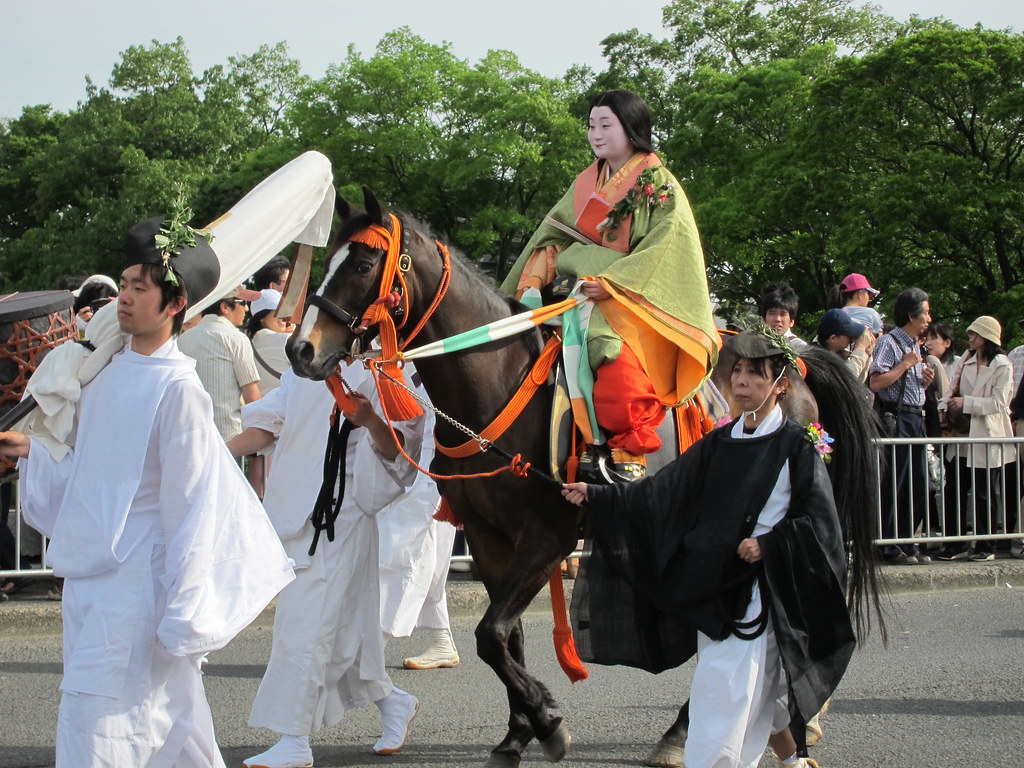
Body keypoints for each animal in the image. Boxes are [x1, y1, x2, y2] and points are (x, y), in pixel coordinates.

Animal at [286, 188, 880, 768]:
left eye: (364, 263)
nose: (300, 349)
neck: (498, 386)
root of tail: (793, 361)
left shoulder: (549, 535)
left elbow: (490, 633)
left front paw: (548, 721)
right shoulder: (487, 537)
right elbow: (507, 638)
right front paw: (518, 732)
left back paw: (705, 731)